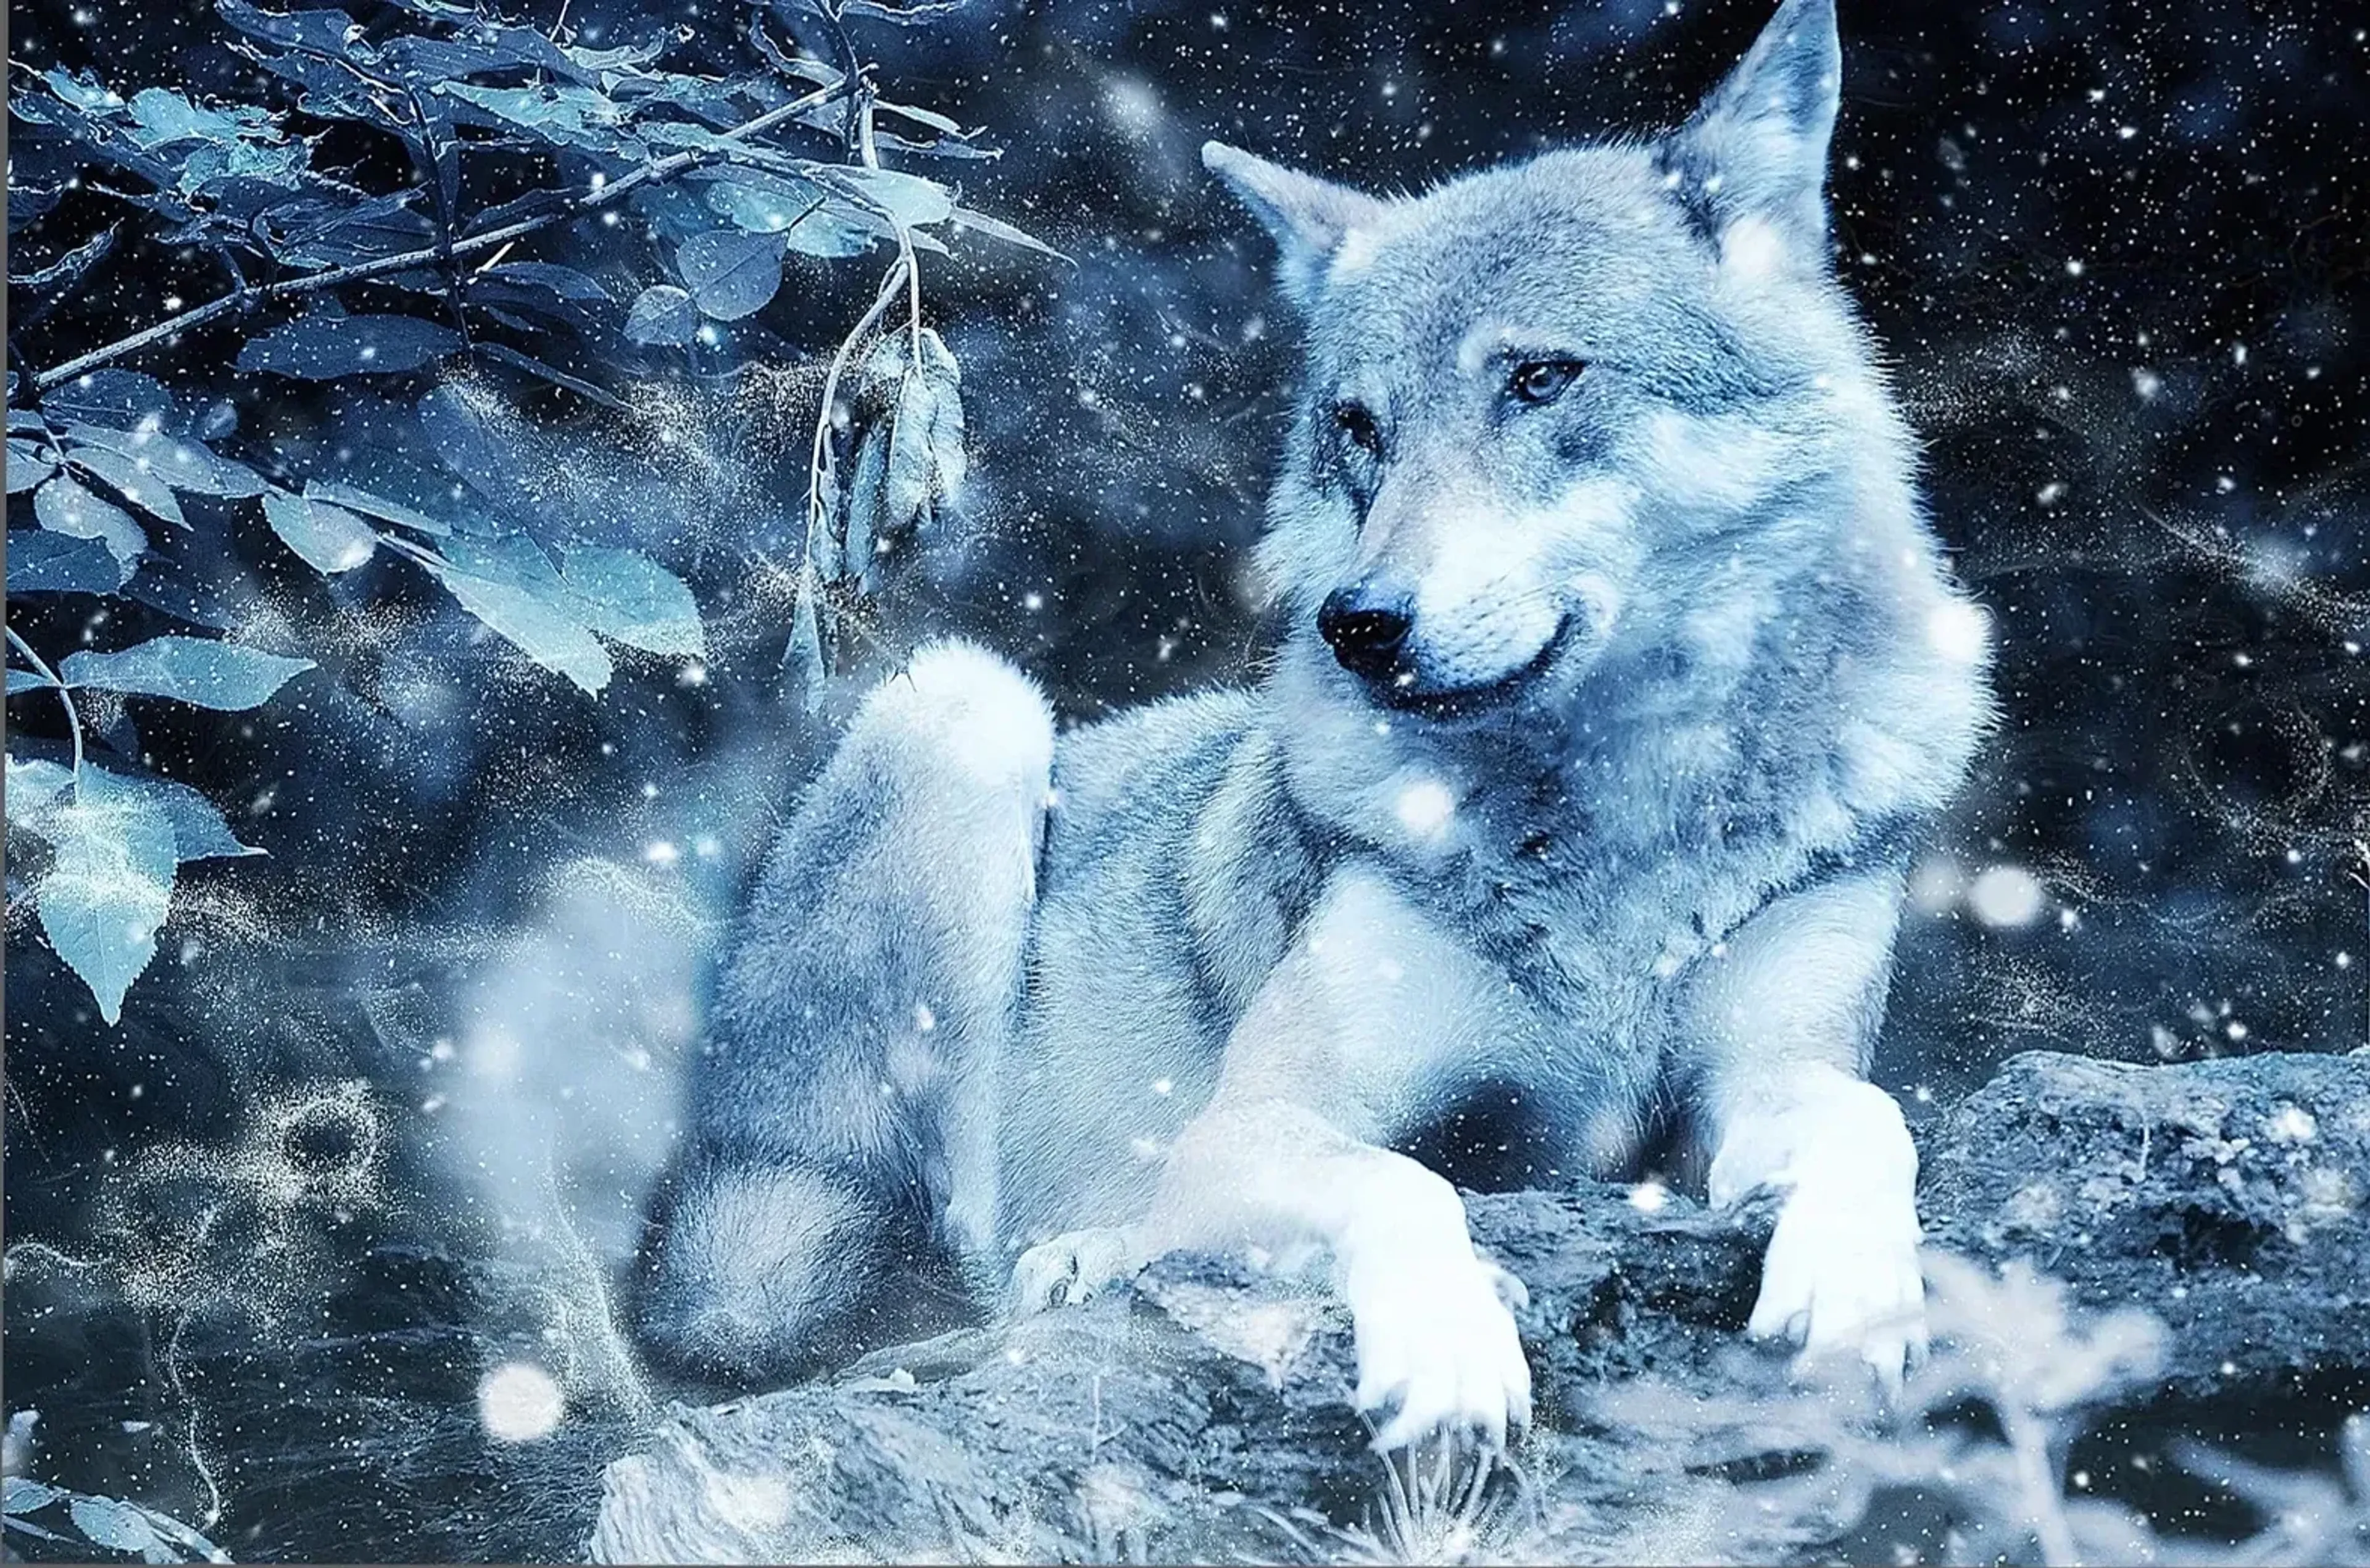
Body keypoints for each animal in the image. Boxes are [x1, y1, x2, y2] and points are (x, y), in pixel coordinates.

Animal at [633, 0, 1993, 1450]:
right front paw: (1451, 1350)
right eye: (1359, 428)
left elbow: (1871, 1116)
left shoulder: (1749, 1089)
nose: (1361, 621)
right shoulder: (1255, 1124)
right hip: (966, 706)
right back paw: (1085, 1257)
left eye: (1541, 379)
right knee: (955, 1268)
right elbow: (1411, 1184)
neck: (1612, 830)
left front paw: (1860, 1290)